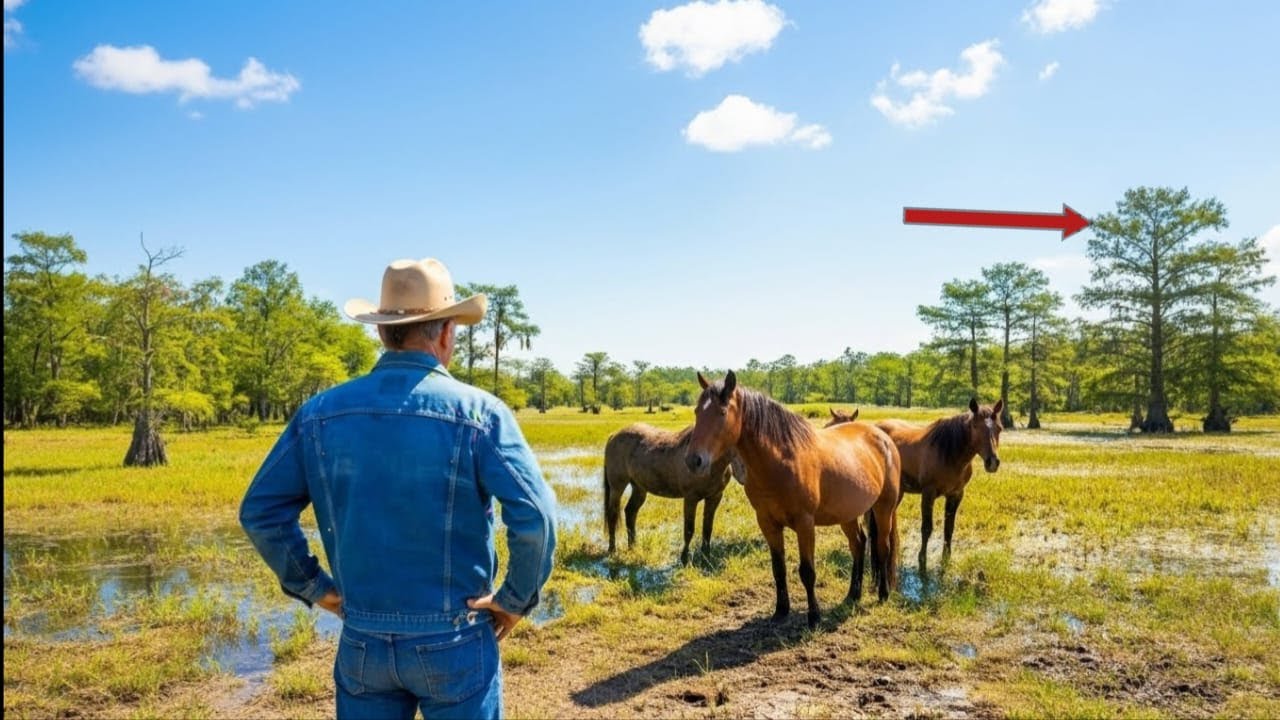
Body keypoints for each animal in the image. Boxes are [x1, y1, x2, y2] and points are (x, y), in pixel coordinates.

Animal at [604, 423, 745, 565]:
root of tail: (614, 435)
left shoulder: (714, 497)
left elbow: (707, 528)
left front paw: (706, 557)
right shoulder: (690, 498)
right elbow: (689, 529)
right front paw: (684, 559)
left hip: (639, 488)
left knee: (630, 512)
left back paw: (633, 546)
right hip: (617, 487)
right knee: (613, 515)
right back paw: (612, 549)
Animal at [685, 371, 900, 629]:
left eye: (722, 412)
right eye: (697, 411)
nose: (694, 461)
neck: (781, 462)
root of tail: (883, 437)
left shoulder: (804, 523)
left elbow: (807, 571)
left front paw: (814, 617)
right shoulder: (767, 522)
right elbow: (778, 568)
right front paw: (781, 611)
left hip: (883, 508)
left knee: (882, 547)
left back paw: (883, 594)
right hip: (848, 513)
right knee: (858, 544)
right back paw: (853, 595)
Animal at [871, 398, 1003, 569]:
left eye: (999, 429)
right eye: (975, 426)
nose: (992, 462)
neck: (949, 454)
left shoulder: (956, 494)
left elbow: (949, 528)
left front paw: (946, 558)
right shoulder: (928, 493)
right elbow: (927, 528)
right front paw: (922, 559)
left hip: (898, 492)